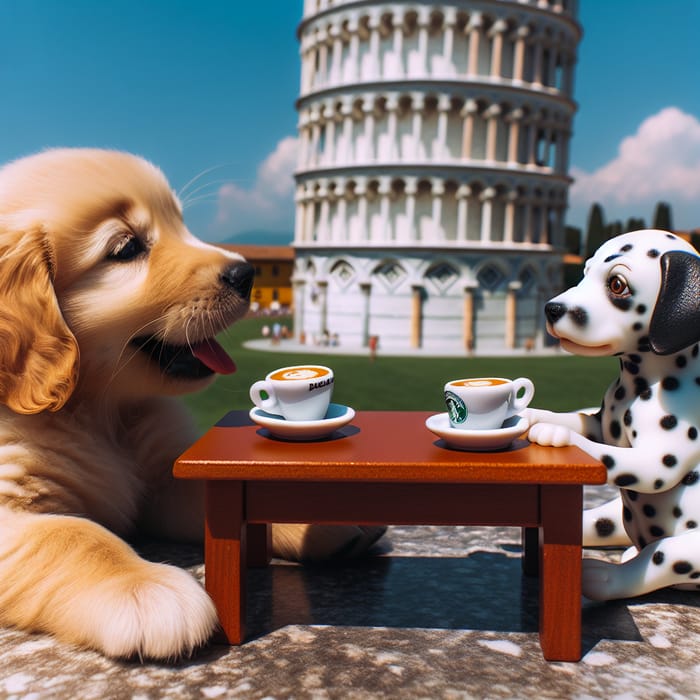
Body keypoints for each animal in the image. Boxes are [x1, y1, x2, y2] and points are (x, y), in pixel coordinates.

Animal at [0, 149, 386, 660]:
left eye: (180, 224)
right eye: (126, 248)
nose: (247, 274)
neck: (101, 413)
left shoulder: (164, 478)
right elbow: (71, 534)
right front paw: (146, 589)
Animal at [528, 231, 696, 600]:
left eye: (617, 284)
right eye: (585, 271)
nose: (551, 308)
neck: (636, 386)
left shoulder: (659, 462)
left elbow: (613, 457)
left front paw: (555, 435)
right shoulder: (599, 423)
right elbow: (578, 419)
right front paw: (530, 415)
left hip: (689, 549)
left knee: (659, 555)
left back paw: (604, 577)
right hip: (616, 515)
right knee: (598, 524)